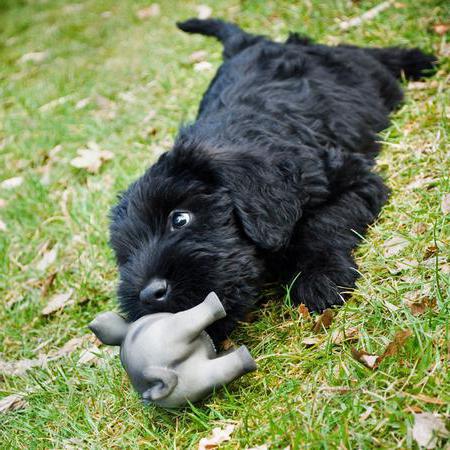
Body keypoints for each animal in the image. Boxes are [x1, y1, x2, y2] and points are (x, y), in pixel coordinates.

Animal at [109, 16, 436, 342]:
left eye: (180, 219)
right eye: (124, 253)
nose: (149, 295)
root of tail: (247, 44)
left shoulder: (351, 178)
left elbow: (320, 224)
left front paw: (319, 276)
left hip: (356, 70)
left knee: (365, 55)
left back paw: (418, 59)